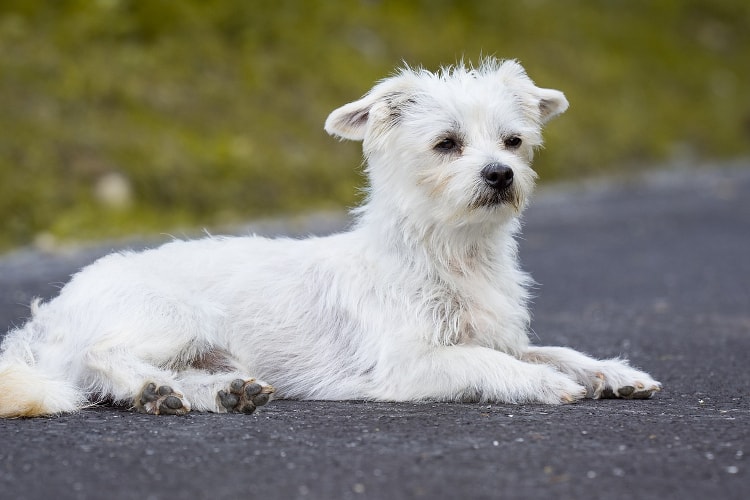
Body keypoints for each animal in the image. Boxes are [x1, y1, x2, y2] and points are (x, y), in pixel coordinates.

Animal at [0, 58, 660, 418]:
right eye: (447, 143)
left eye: (514, 141)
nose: (500, 175)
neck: (449, 253)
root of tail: (50, 315)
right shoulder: (410, 364)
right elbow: (487, 362)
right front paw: (545, 385)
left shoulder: (497, 335)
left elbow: (553, 349)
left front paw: (608, 371)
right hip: (174, 316)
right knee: (100, 357)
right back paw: (150, 388)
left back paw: (216, 393)